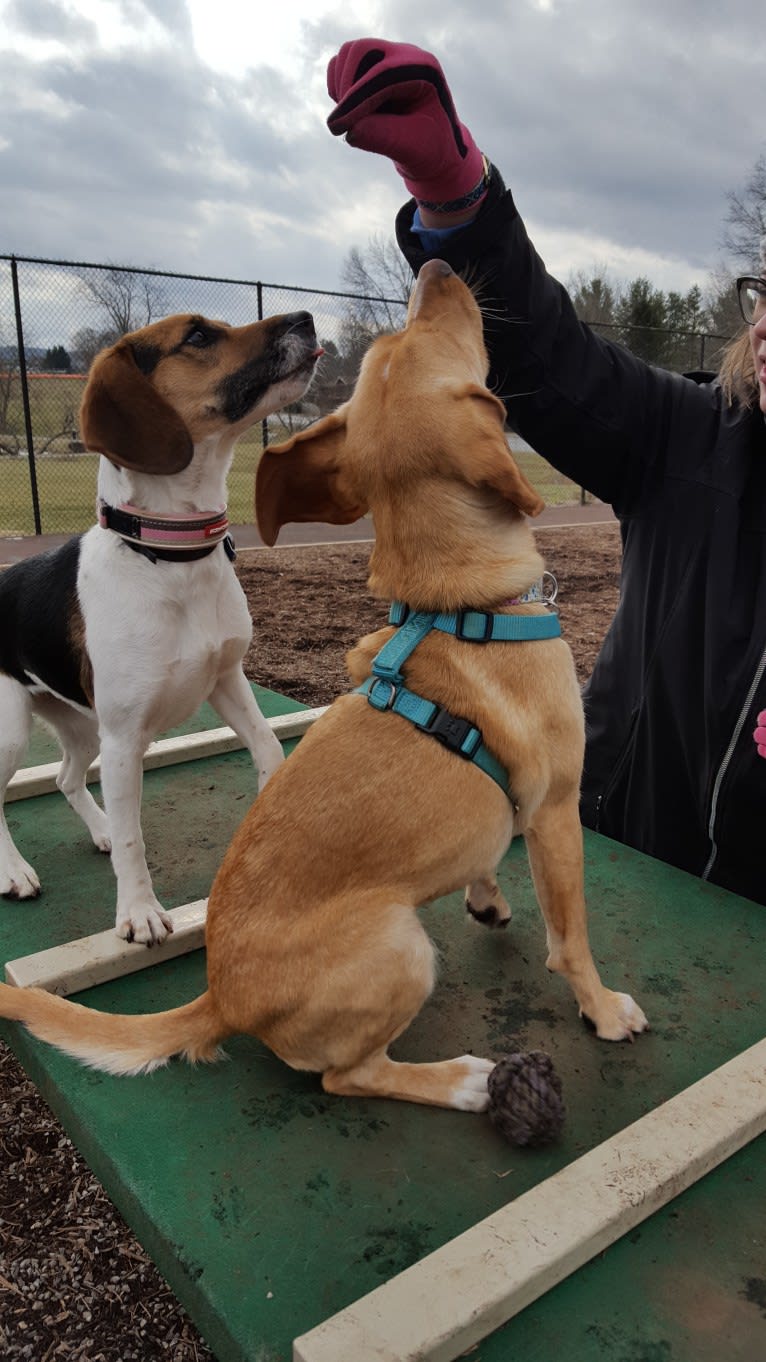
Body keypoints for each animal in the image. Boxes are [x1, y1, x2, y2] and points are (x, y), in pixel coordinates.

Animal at [0, 311, 320, 942]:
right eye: (197, 336)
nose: (307, 319)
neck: (168, 555)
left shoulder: (228, 681)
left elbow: (270, 748)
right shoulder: (124, 741)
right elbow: (134, 839)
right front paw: (139, 912)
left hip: (79, 725)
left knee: (66, 779)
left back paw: (95, 828)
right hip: (12, 732)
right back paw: (15, 871)